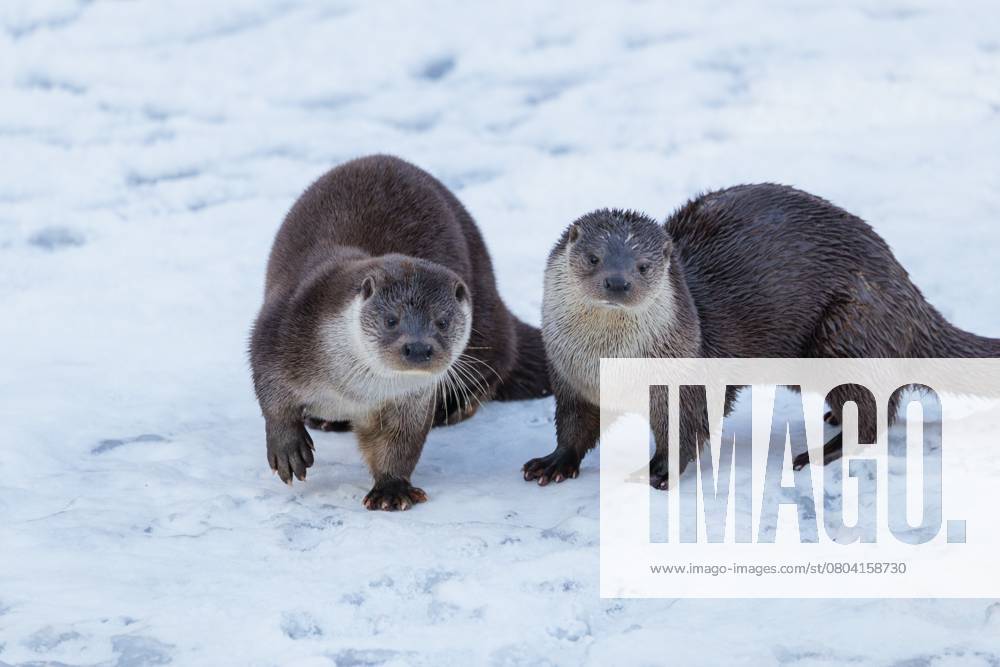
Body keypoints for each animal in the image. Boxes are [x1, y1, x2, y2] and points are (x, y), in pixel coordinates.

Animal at [251, 155, 549, 510]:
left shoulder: (408, 401)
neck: (350, 391)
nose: (418, 348)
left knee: (501, 359)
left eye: (442, 322)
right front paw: (287, 447)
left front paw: (392, 489)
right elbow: (270, 387)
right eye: (392, 320)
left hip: (486, 324)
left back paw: (454, 408)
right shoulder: (285, 324)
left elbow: (399, 442)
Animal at [524, 183, 999, 488]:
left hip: (846, 331)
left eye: (643, 266)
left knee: (874, 413)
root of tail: (906, 289)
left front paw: (658, 471)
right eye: (593, 257)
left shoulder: (686, 378)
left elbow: (687, 429)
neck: (610, 363)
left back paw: (815, 454)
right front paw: (553, 464)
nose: (618, 282)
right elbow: (574, 427)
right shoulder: (570, 379)